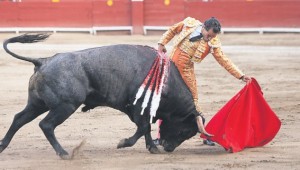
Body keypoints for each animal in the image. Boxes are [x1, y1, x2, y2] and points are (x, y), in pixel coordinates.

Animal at [1, 33, 202, 159]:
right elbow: (143, 127)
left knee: (19, 118)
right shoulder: (137, 108)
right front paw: (123, 143)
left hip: (37, 104)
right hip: (65, 106)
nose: (169, 148)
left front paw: (152, 148)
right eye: (185, 131)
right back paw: (64, 153)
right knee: (46, 125)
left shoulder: (142, 110)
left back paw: (2, 145)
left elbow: (146, 129)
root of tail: (43, 61)